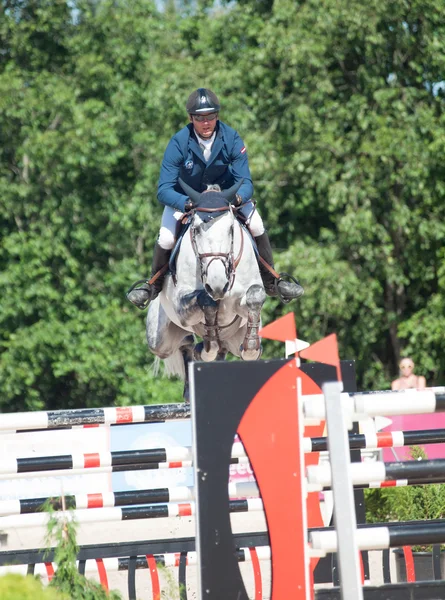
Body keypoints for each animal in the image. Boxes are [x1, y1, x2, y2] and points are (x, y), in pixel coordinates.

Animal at [146, 180, 266, 396]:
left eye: (230, 229)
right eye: (196, 229)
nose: (217, 285)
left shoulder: (246, 296)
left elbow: (255, 296)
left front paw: (251, 346)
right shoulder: (183, 306)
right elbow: (206, 301)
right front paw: (208, 345)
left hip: (234, 338)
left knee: (224, 347)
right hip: (158, 340)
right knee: (184, 343)